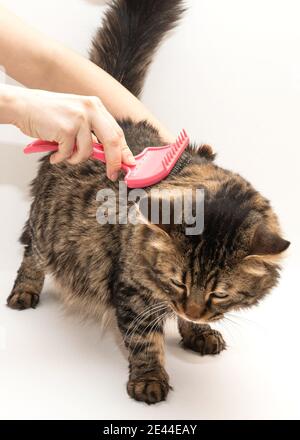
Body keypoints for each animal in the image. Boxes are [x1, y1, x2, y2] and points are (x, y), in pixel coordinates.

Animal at [7, 0, 290, 406]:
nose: (193, 310)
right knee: (31, 253)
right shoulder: (132, 292)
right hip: (47, 227)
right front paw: (150, 379)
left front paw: (197, 331)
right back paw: (24, 291)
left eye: (219, 294)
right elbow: (144, 341)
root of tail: (113, 117)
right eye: (177, 282)